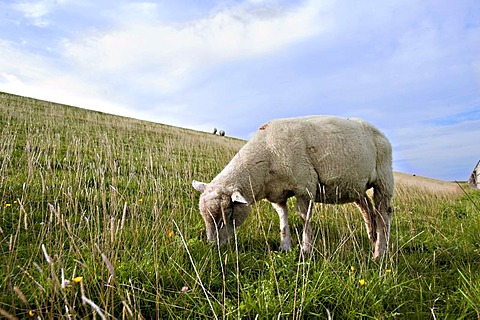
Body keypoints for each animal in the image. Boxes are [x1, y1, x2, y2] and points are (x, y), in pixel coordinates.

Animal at [192, 116, 394, 258]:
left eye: (228, 212)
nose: (213, 246)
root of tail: (379, 132)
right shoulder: (277, 194)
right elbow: (283, 219)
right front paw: (285, 246)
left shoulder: (305, 186)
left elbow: (304, 218)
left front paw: (306, 249)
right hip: (356, 186)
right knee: (367, 210)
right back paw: (372, 239)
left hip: (384, 178)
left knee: (383, 214)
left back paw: (380, 252)